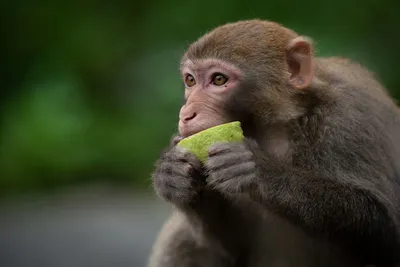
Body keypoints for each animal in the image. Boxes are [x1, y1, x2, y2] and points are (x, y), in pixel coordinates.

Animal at [147, 19, 400, 267]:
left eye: (219, 79)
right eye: (190, 80)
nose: (186, 114)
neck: (277, 127)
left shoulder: (352, 117)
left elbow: (385, 228)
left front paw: (257, 169)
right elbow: (234, 247)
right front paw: (171, 173)